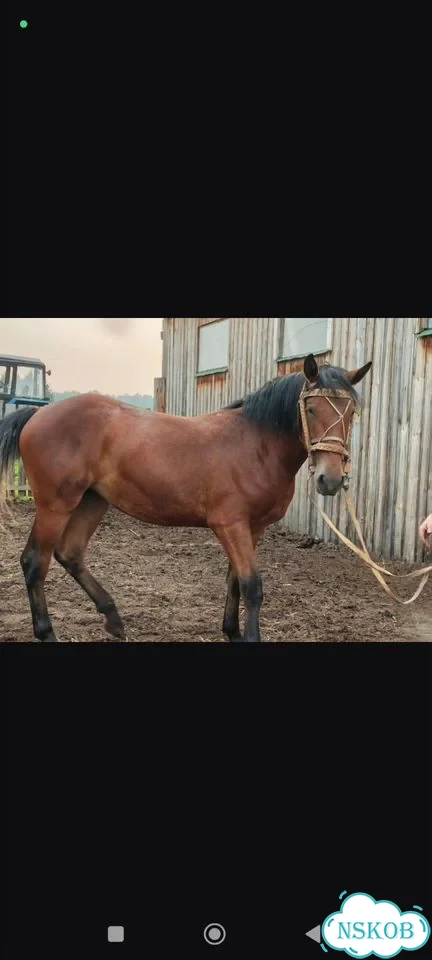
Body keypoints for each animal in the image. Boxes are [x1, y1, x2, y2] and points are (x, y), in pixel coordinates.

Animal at [0, 354, 372, 642]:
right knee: (35, 562)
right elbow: (252, 585)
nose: (330, 479)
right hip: (55, 504)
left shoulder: (253, 528)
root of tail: (37, 415)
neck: (256, 445)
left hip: (92, 500)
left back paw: (114, 619)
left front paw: (232, 632)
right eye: (311, 408)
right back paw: (47, 632)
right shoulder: (230, 525)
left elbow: (234, 580)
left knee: (70, 553)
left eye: (352, 411)